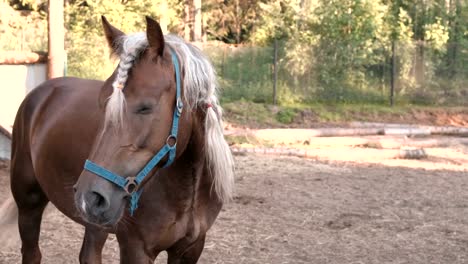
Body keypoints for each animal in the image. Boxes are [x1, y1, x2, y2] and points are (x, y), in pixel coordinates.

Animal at [0, 15, 234, 262]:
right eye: (102, 104)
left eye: (145, 107)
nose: (89, 196)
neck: (187, 191)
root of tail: (42, 91)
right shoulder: (135, 248)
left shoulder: (191, 248)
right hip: (29, 202)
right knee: (32, 252)